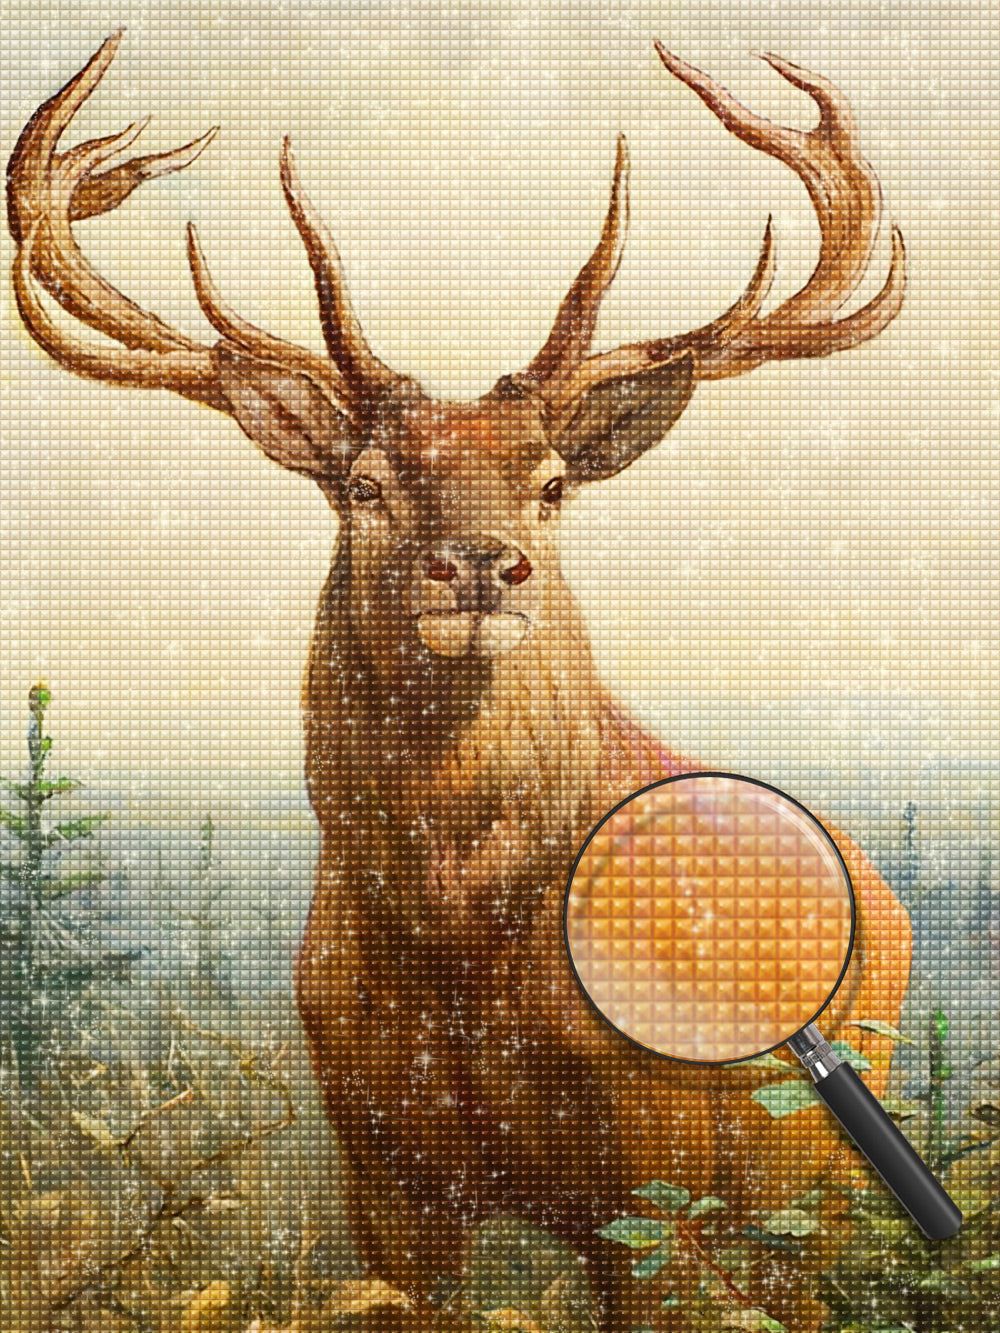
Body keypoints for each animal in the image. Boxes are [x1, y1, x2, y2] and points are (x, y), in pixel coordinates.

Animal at [9, 32, 911, 1332]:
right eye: (365, 483)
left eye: (549, 482)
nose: (481, 563)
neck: (462, 946)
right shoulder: (384, 1170)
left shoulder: (660, 1184)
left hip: (808, 1180)